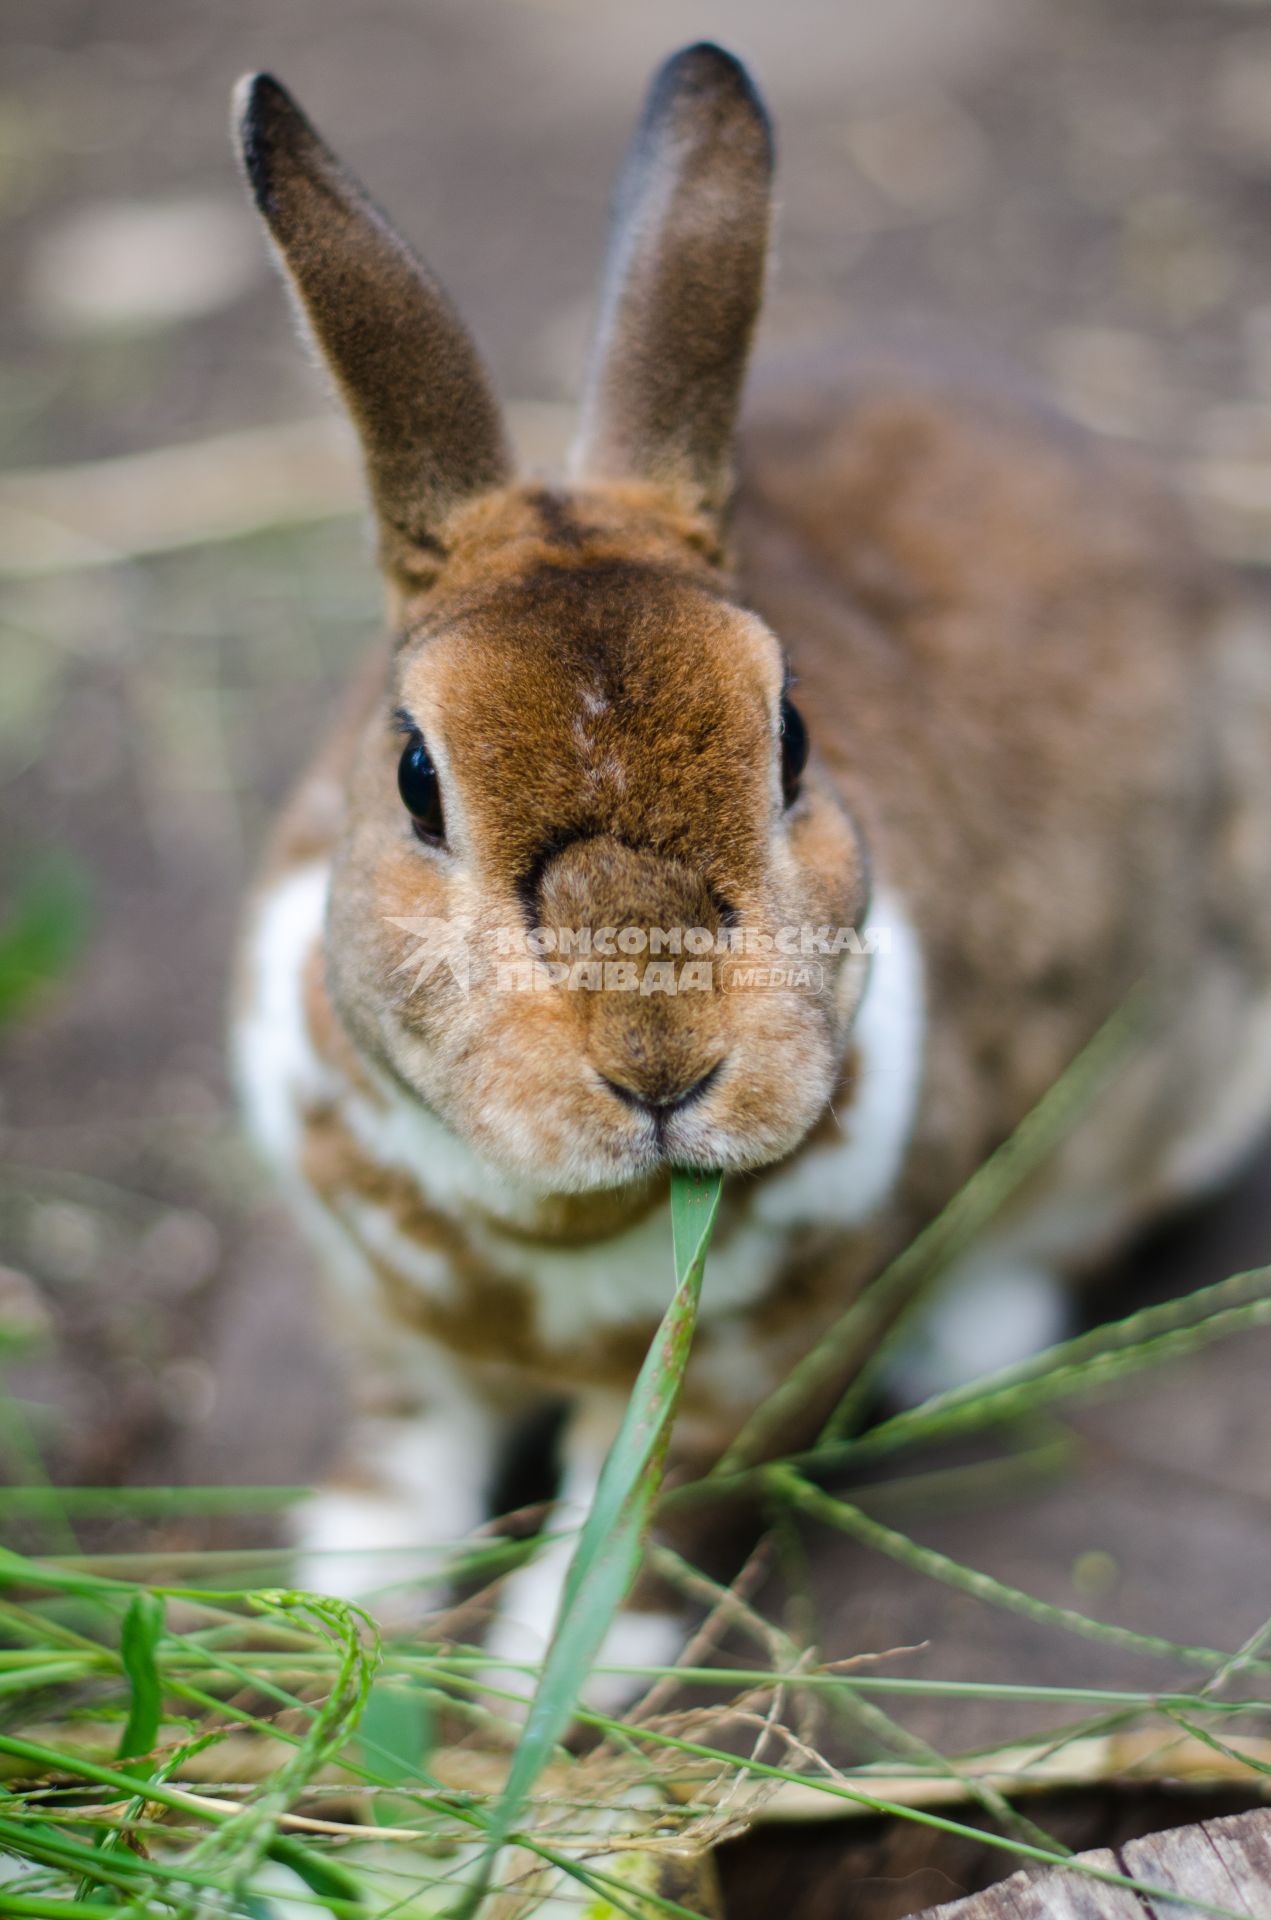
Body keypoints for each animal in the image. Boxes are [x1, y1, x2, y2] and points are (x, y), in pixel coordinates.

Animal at [229, 41, 1271, 1697]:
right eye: (414, 779)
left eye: (788, 740)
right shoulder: (381, 1330)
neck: (553, 1225)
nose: (659, 1064)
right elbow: (399, 1453)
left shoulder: (758, 1368)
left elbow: (642, 1518)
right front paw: (348, 1595)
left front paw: (550, 1679)